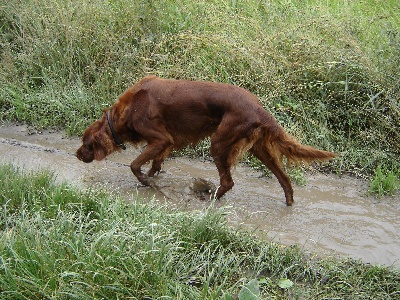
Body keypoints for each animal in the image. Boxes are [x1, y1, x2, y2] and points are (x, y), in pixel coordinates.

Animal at [76, 76, 336, 205]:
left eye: (86, 143)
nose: (77, 155)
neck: (128, 110)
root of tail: (260, 109)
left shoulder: (161, 139)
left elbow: (134, 164)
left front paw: (144, 180)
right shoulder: (166, 143)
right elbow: (154, 164)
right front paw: (151, 179)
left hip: (219, 143)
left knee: (228, 182)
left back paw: (210, 198)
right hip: (259, 149)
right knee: (284, 177)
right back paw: (289, 201)